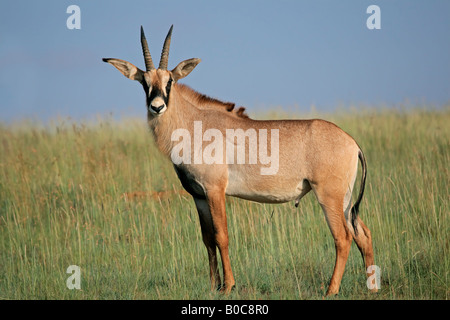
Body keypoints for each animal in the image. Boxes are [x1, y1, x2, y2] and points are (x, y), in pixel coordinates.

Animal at [103, 26, 376, 296]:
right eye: (144, 82)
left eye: (170, 81)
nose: (157, 107)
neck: (194, 124)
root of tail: (352, 143)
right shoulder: (199, 196)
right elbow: (207, 239)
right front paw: (213, 286)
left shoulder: (215, 190)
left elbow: (221, 236)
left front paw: (228, 286)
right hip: (344, 199)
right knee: (362, 233)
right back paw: (371, 287)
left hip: (328, 196)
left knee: (343, 238)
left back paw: (331, 290)